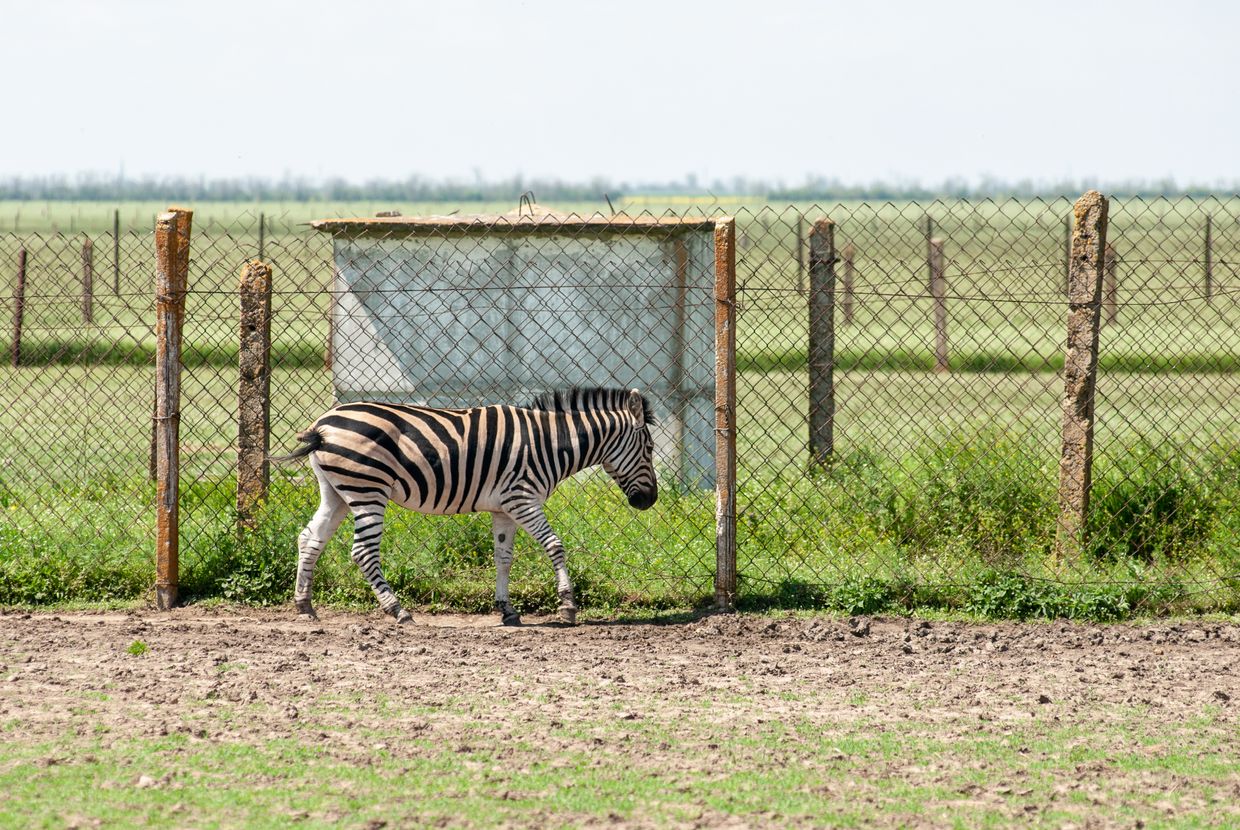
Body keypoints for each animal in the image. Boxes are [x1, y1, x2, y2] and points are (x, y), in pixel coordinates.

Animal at [272, 384, 659, 625]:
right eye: (650, 449)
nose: (649, 501)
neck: (550, 443)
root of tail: (322, 425)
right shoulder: (522, 498)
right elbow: (555, 546)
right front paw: (568, 606)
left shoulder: (504, 508)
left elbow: (503, 558)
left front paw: (507, 609)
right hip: (368, 489)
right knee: (363, 551)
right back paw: (398, 610)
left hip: (336, 490)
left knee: (310, 538)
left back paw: (304, 606)